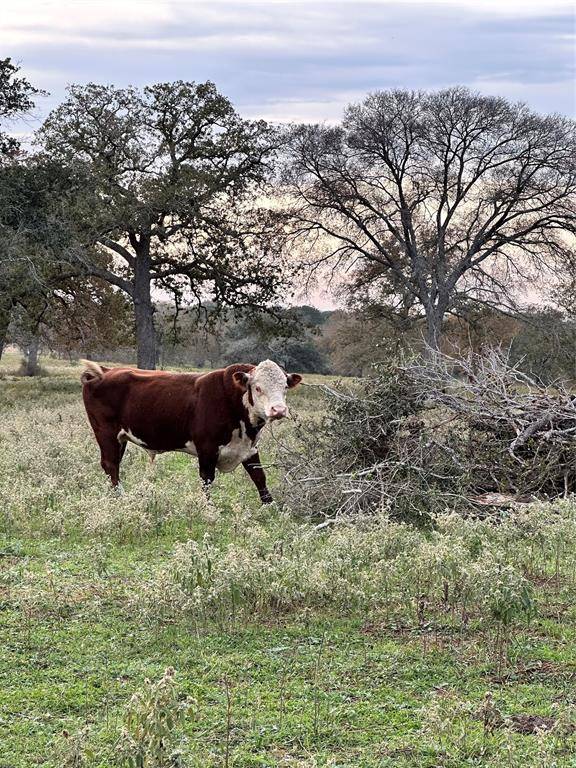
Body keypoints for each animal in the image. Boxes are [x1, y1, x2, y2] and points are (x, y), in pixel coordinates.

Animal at [81, 360, 304, 504]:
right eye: (257, 387)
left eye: (285, 387)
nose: (278, 410)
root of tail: (105, 371)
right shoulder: (207, 448)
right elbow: (207, 479)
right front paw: (208, 508)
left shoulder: (249, 448)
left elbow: (259, 477)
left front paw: (270, 505)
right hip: (105, 432)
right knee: (110, 464)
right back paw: (119, 497)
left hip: (121, 437)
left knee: (114, 464)